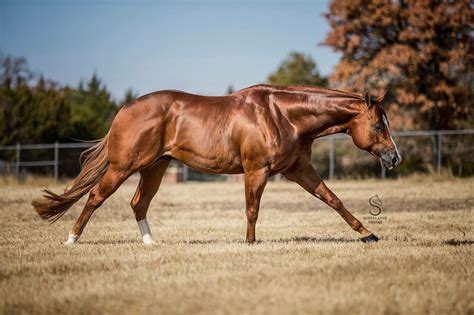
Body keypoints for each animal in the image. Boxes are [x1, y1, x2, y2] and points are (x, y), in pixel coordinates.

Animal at [32, 85, 400, 246]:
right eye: (378, 126)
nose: (394, 157)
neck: (281, 115)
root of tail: (124, 110)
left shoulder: (298, 170)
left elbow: (333, 199)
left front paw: (368, 234)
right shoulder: (257, 171)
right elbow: (252, 210)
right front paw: (250, 244)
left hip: (155, 168)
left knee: (138, 203)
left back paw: (150, 244)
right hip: (123, 167)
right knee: (95, 197)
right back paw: (71, 240)